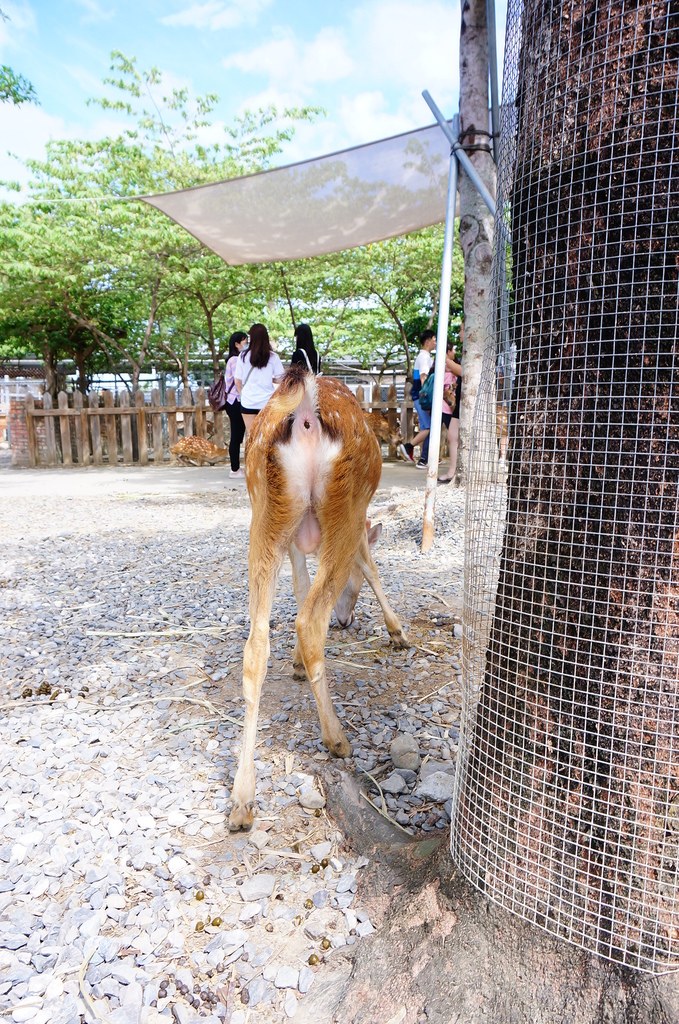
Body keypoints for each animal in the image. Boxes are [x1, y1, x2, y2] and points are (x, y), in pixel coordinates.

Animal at [228, 368, 409, 831]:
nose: (346, 620)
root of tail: (307, 412)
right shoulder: (358, 521)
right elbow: (370, 567)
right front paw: (397, 633)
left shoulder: (295, 537)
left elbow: (300, 585)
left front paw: (292, 664)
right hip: (344, 504)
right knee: (311, 621)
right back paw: (337, 738)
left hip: (266, 509)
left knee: (256, 643)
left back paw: (242, 802)